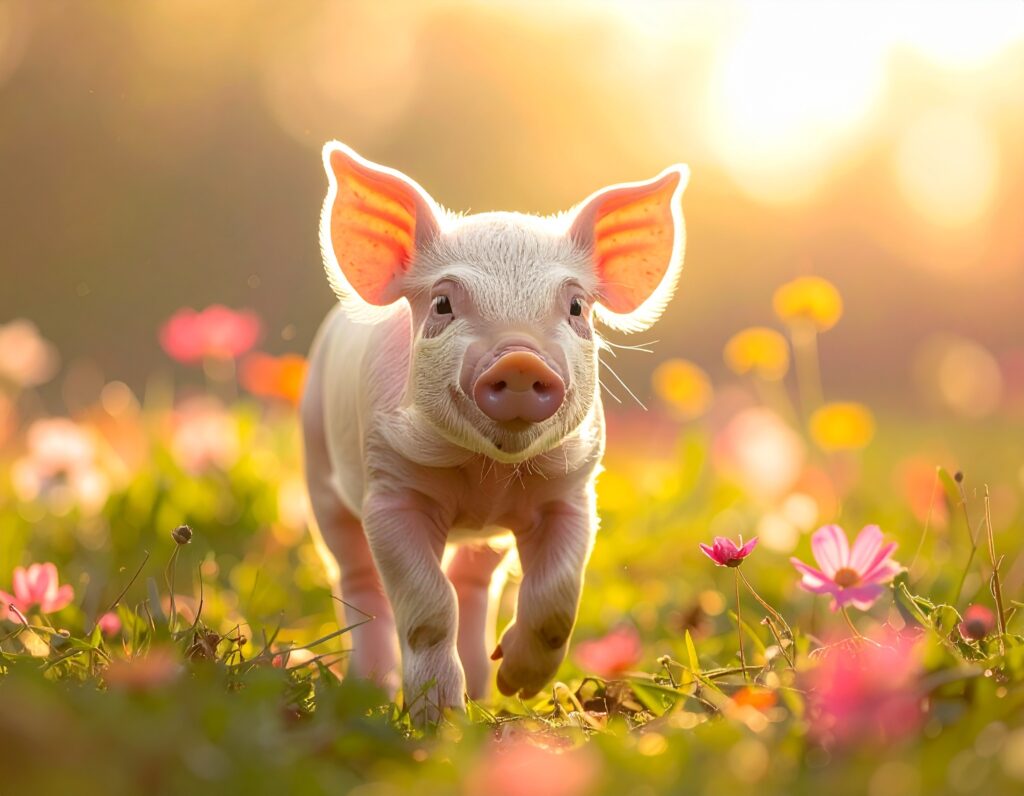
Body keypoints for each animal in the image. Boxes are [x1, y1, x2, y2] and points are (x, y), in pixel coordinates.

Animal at [301, 141, 689, 723]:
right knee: (358, 580)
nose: (521, 358)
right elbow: (428, 609)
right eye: (443, 303)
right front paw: (440, 720)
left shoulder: (572, 494)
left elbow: (556, 598)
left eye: (576, 306)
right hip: (319, 470)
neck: (487, 479)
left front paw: (517, 687)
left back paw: (485, 690)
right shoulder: (390, 492)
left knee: (474, 580)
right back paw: (371, 694)